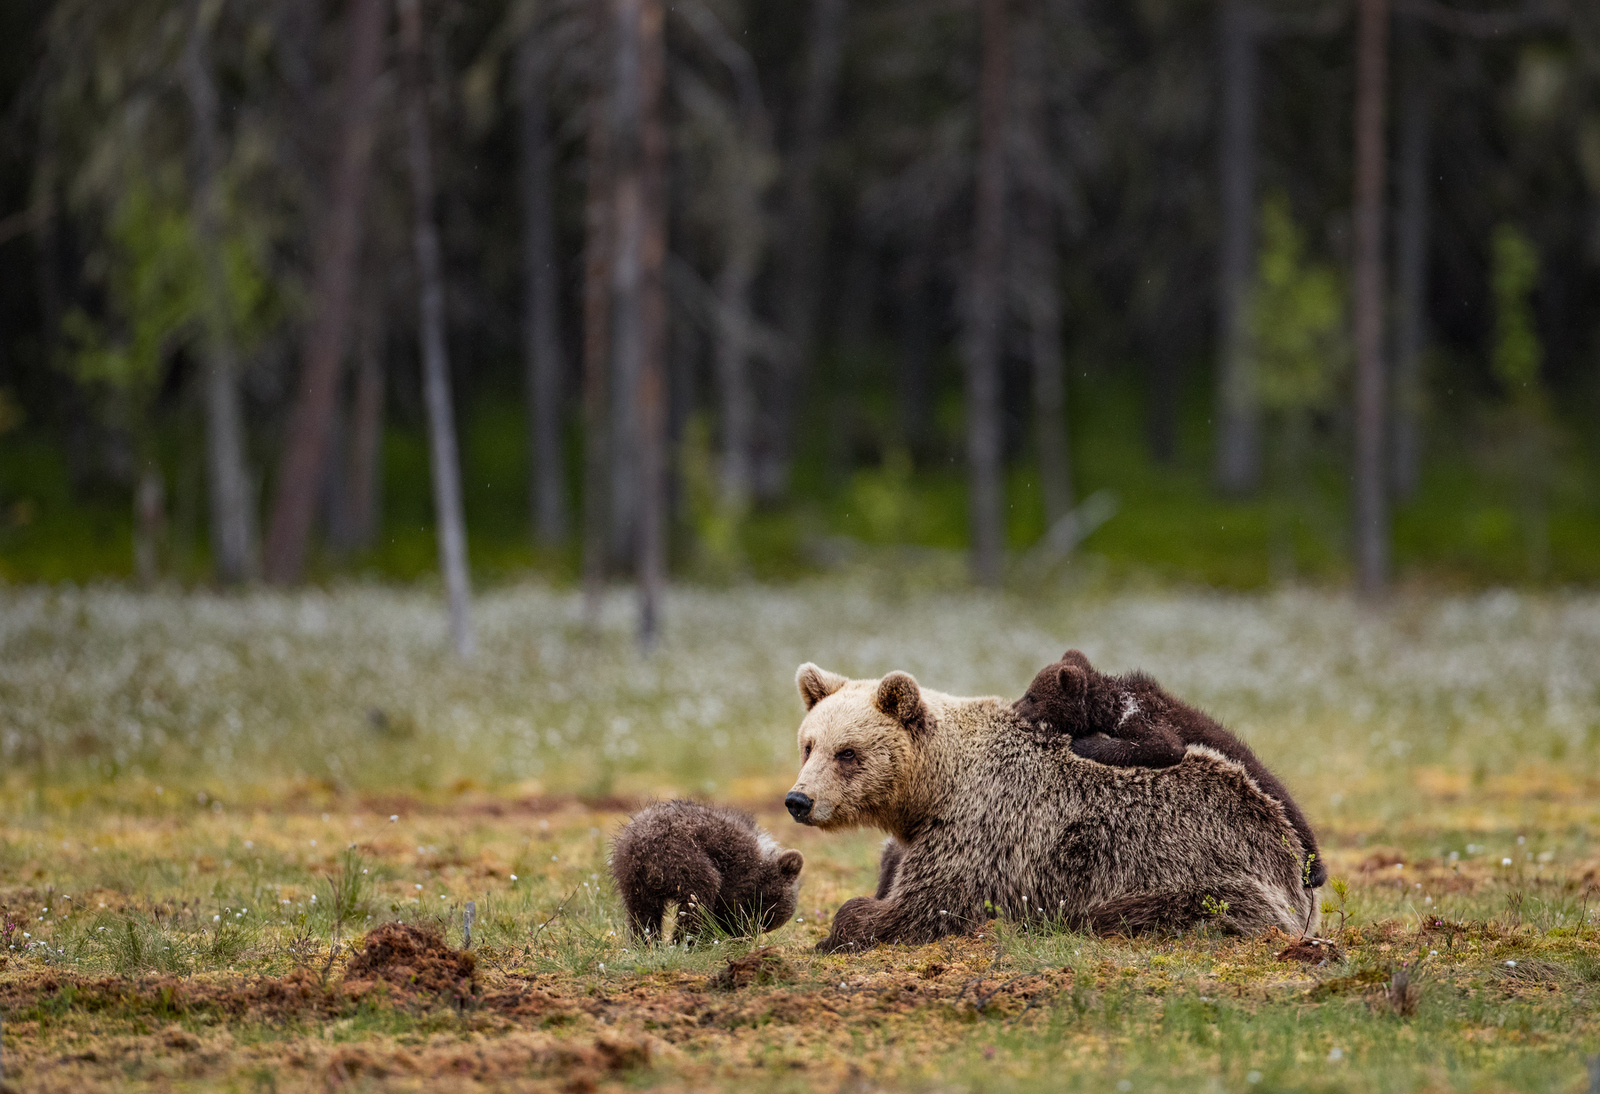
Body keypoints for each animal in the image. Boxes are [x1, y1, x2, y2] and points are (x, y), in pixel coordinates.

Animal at [608, 799, 806, 946]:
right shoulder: (738, 870)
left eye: (766, 924)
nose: (751, 934)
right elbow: (727, 903)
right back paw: (684, 942)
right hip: (683, 858)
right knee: (698, 898)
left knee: (642, 912)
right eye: (763, 917)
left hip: (632, 877)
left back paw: (647, 943)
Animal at [1017, 649, 1331, 889]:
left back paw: (1314, 871)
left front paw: (1083, 742)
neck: (1106, 707)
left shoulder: (1144, 716)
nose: (1016, 707)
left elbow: (1161, 745)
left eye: (1032, 696)